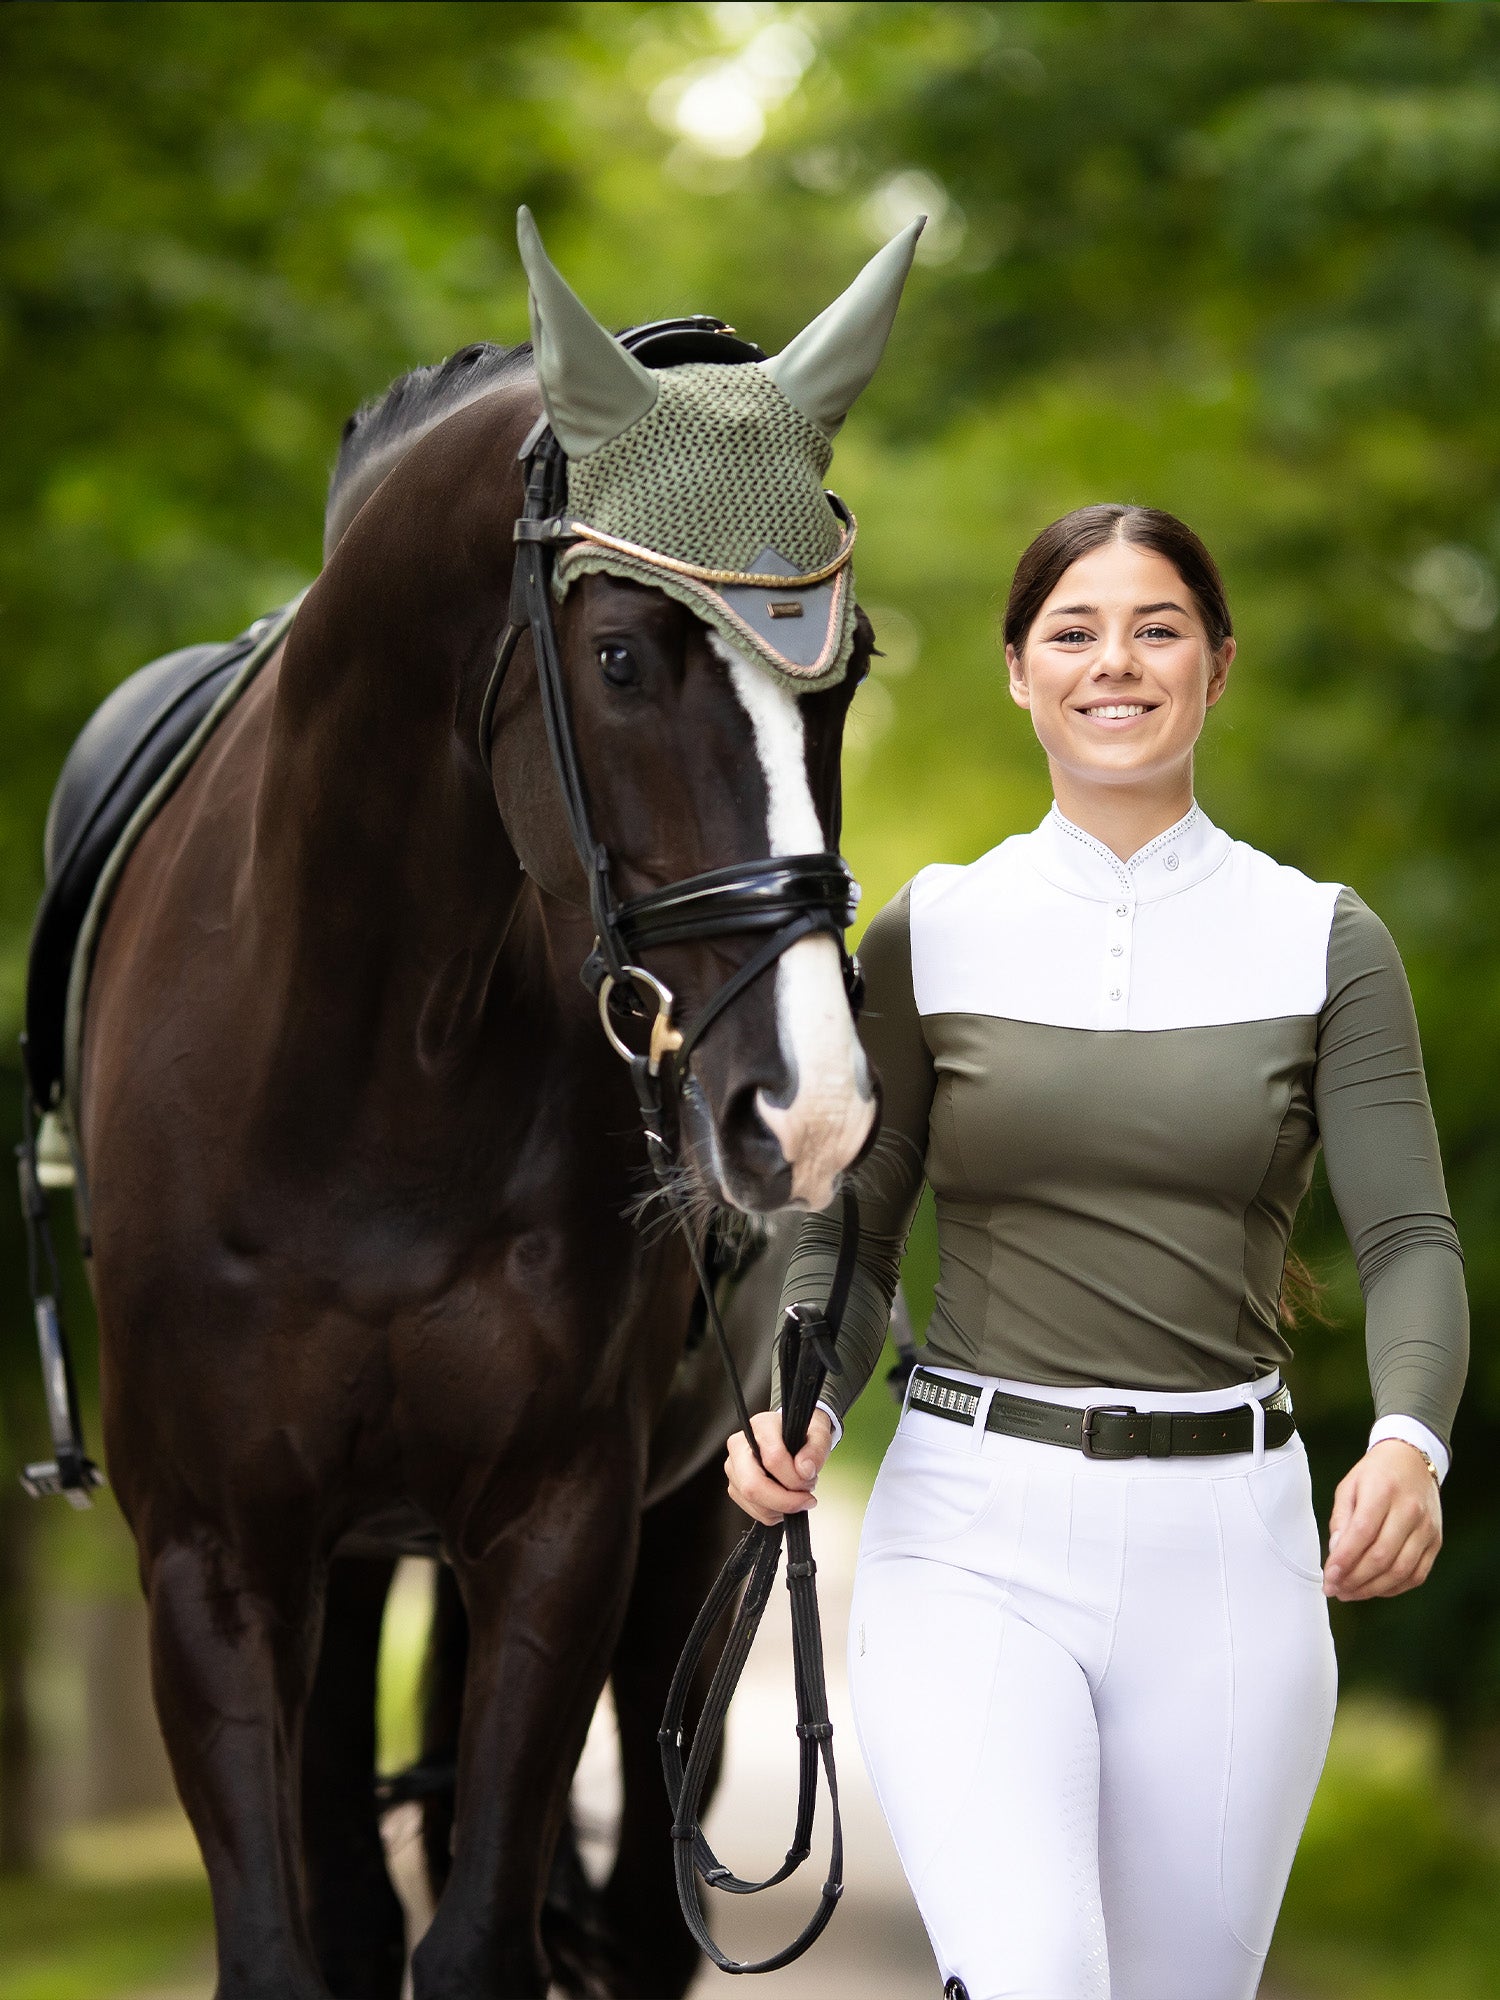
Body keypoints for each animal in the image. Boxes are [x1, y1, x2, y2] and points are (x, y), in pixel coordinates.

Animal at [76, 223, 916, 2000]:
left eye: (850, 668)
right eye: (619, 658)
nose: (808, 1113)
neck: (372, 1073)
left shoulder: (562, 1532)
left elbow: (478, 1942)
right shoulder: (211, 1556)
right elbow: (294, 1944)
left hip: (691, 1541)